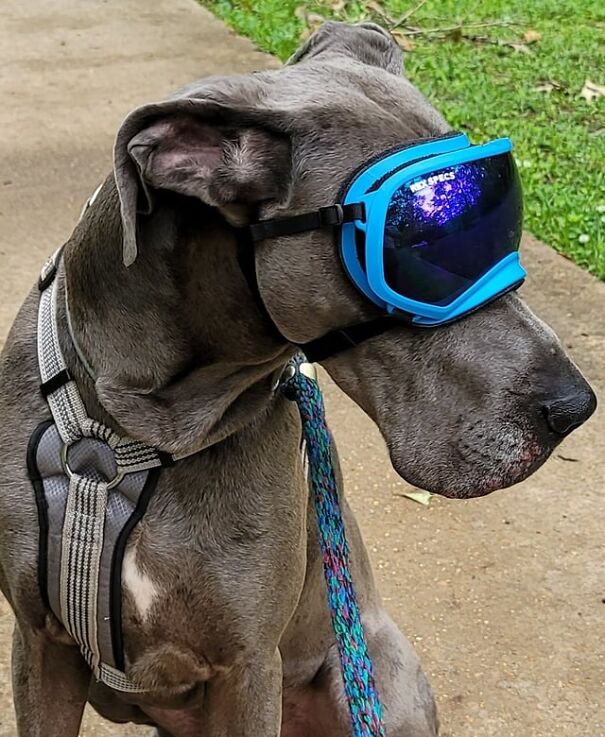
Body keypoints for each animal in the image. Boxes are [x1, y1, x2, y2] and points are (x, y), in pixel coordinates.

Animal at [0, 20, 596, 736]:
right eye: (418, 246)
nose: (575, 407)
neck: (134, 433)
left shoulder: (248, 667)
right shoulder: (39, 642)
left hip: (377, 680)